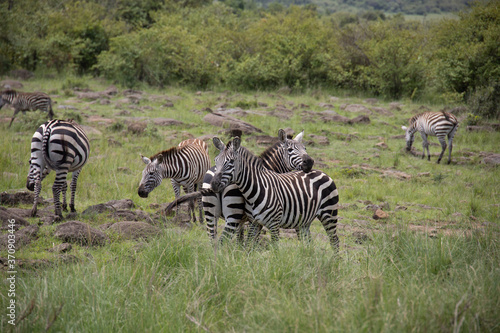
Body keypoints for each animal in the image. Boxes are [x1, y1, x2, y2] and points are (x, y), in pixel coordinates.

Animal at [170, 129, 314, 241]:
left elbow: (240, 238)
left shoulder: (243, 221)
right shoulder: (253, 220)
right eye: (290, 150)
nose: (309, 162)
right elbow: (252, 239)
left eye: (305, 148)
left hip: (211, 212)